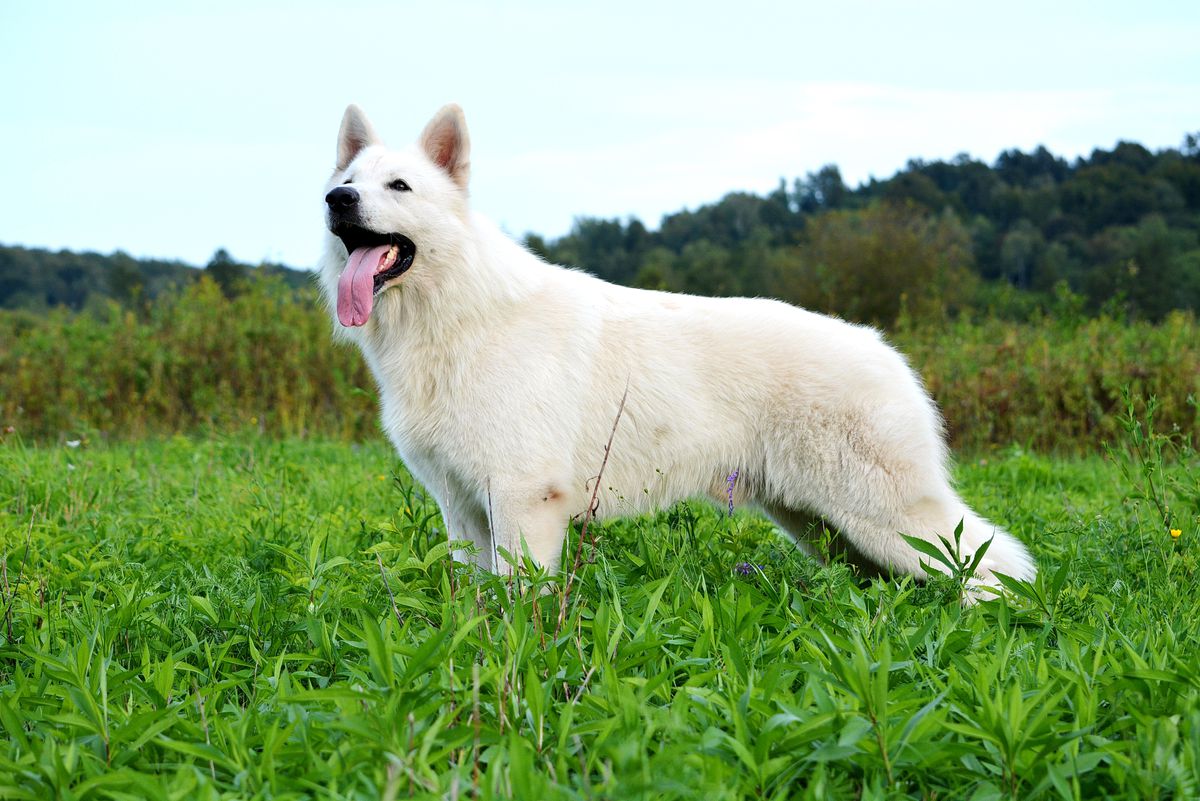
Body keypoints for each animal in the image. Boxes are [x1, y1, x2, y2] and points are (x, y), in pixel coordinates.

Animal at [319, 103, 1041, 592]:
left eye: (399, 187)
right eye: (351, 177)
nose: (336, 198)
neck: (456, 316)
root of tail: (886, 351)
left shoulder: (524, 504)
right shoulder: (463, 511)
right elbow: (476, 603)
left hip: (882, 517)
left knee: (993, 564)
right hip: (824, 526)